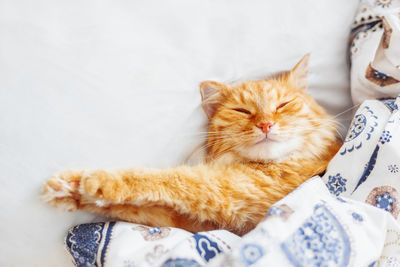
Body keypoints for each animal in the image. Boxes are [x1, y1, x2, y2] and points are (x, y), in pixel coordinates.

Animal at [41, 55, 340, 237]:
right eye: (242, 111)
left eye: (283, 105)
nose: (266, 124)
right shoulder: (199, 223)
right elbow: (143, 209)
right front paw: (70, 189)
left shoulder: (225, 190)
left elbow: (168, 180)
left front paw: (99, 180)